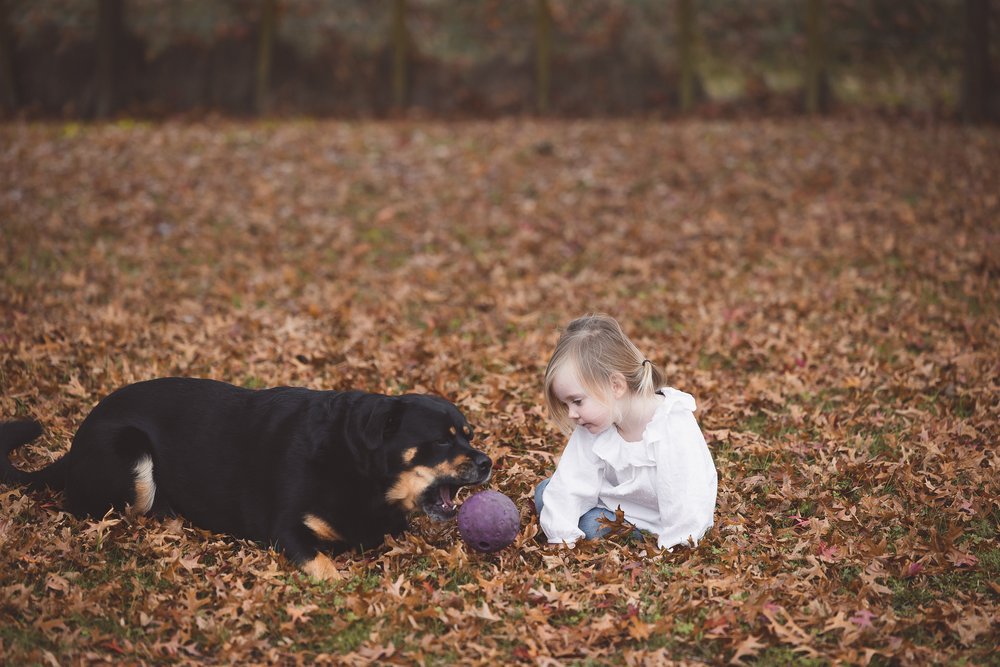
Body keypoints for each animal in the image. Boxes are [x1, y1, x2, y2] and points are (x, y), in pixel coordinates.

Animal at [0, 380, 492, 580]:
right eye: (442, 441)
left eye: (467, 434)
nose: (488, 462)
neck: (357, 466)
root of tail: (73, 446)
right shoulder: (286, 530)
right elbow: (325, 567)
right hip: (133, 459)